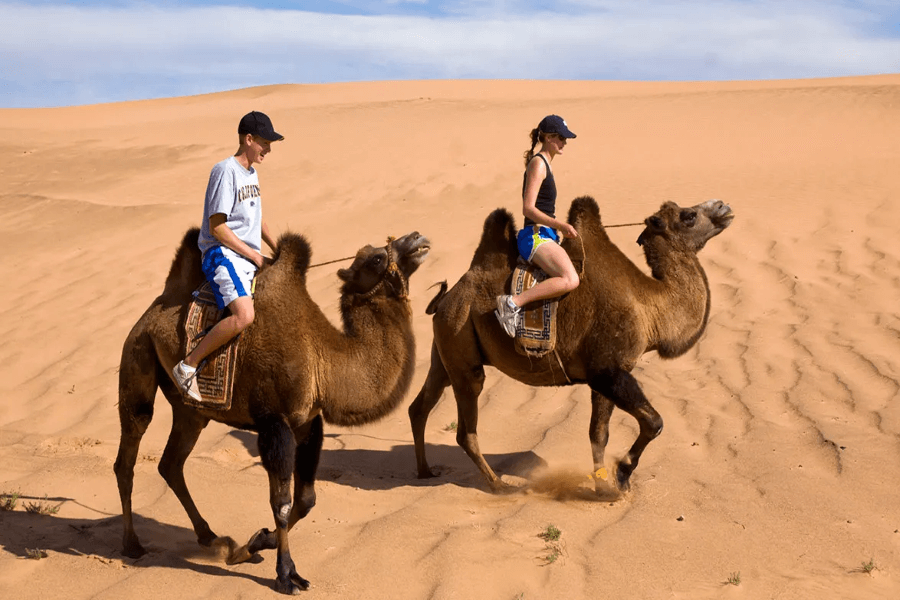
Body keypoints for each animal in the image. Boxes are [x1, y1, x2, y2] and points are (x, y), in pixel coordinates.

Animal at [114, 227, 430, 592]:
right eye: (377, 258)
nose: (417, 237)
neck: (323, 357)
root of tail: (151, 312)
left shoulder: (307, 423)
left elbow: (306, 499)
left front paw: (252, 545)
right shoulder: (273, 423)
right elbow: (282, 503)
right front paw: (286, 573)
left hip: (191, 411)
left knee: (171, 463)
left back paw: (210, 537)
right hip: (137, 355)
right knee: (129, 450)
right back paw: (132, 545)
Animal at [408, 196, 732, 492]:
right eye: (689, 216)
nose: (723, 206)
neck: (649, 308)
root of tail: (446, 300)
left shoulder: (604, 374)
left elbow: (598, 434)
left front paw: (604, 486)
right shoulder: (606, 370)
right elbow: (654, 423)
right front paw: (622, 474)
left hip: (446, 348)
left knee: (420, 406)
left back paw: (425, 471)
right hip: (461, 347)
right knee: (465, 429)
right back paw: (500, 485)